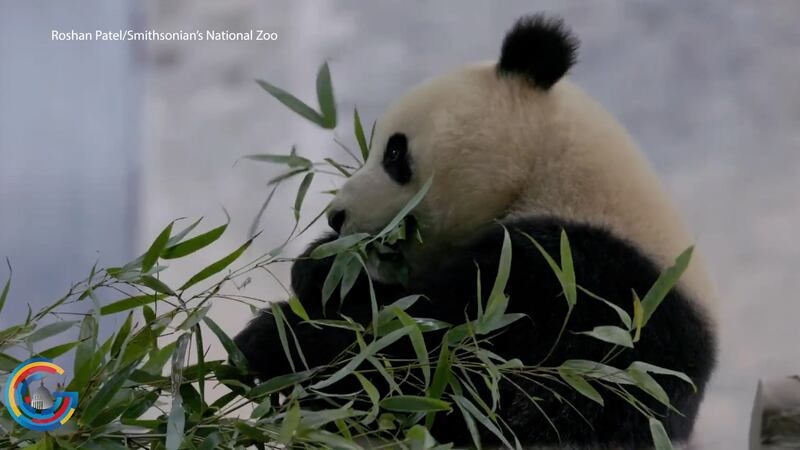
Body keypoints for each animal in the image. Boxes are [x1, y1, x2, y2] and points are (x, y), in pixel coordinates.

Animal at [235, 14, 718, 449]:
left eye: (395, 152)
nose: (337, 216)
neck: (551, 174)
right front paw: (321, 267)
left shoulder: (586, 291)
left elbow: (446, 367)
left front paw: (270, 341)